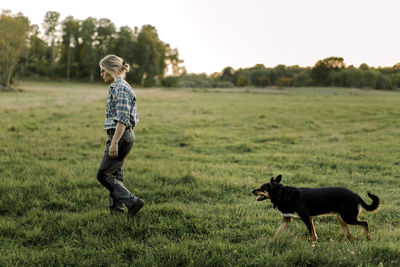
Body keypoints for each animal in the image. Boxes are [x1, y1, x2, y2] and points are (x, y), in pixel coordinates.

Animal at [252, 175, 380, 244]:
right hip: (341, 218)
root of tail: (355, 194)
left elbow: (313, 234)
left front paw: (314, 245)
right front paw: (271, 242)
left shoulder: (307, 218)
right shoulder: (287, 219)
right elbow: (277, 233)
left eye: (262, 188)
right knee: (348, 234)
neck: (281, 193)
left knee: (365, 223)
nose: (252, 191)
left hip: (348, 217)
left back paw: (368, 238)